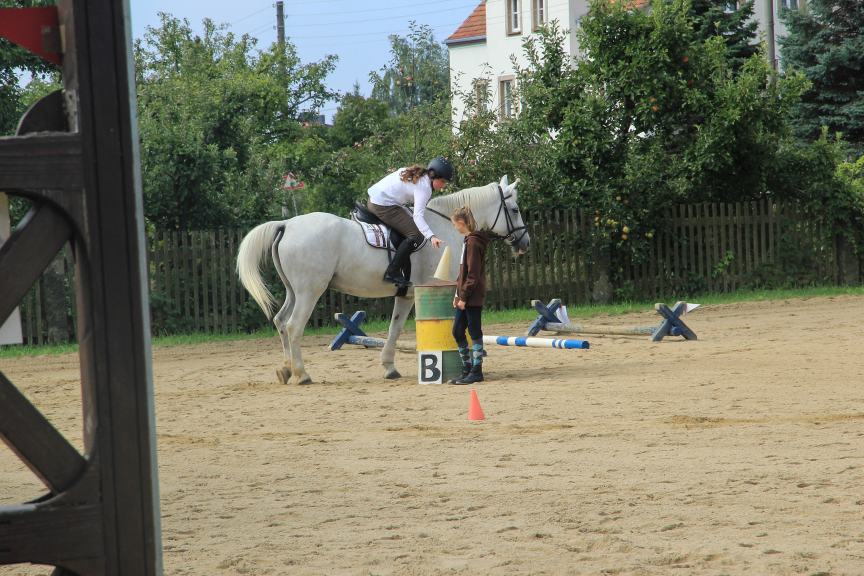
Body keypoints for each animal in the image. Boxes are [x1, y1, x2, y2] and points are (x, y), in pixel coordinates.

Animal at [236, 175, 530, 385]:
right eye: (515, 209)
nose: (525, 243)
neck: (445, 225)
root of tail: (286, 224)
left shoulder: (407, 295)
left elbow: (394, 329)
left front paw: (389, 367)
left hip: (294, 291)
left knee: (280, 322)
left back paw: (286, 370)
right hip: (310, 292)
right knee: (294, 326)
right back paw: (302, 374)